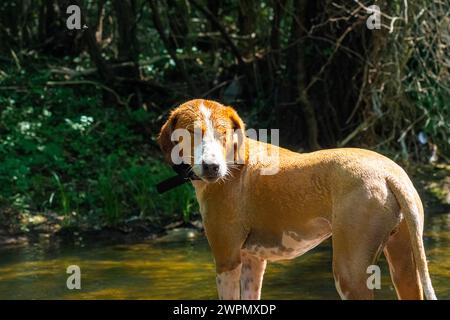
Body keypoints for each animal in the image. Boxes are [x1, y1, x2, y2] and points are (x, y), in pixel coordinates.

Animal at [158, 99, 436, 298]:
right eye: (190, 133)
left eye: (223, 133)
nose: (212, 167)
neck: (233, 163)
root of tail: (390, 174)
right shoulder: (253, 261)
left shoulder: (227, 259)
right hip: (404, 265)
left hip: (349, 272)